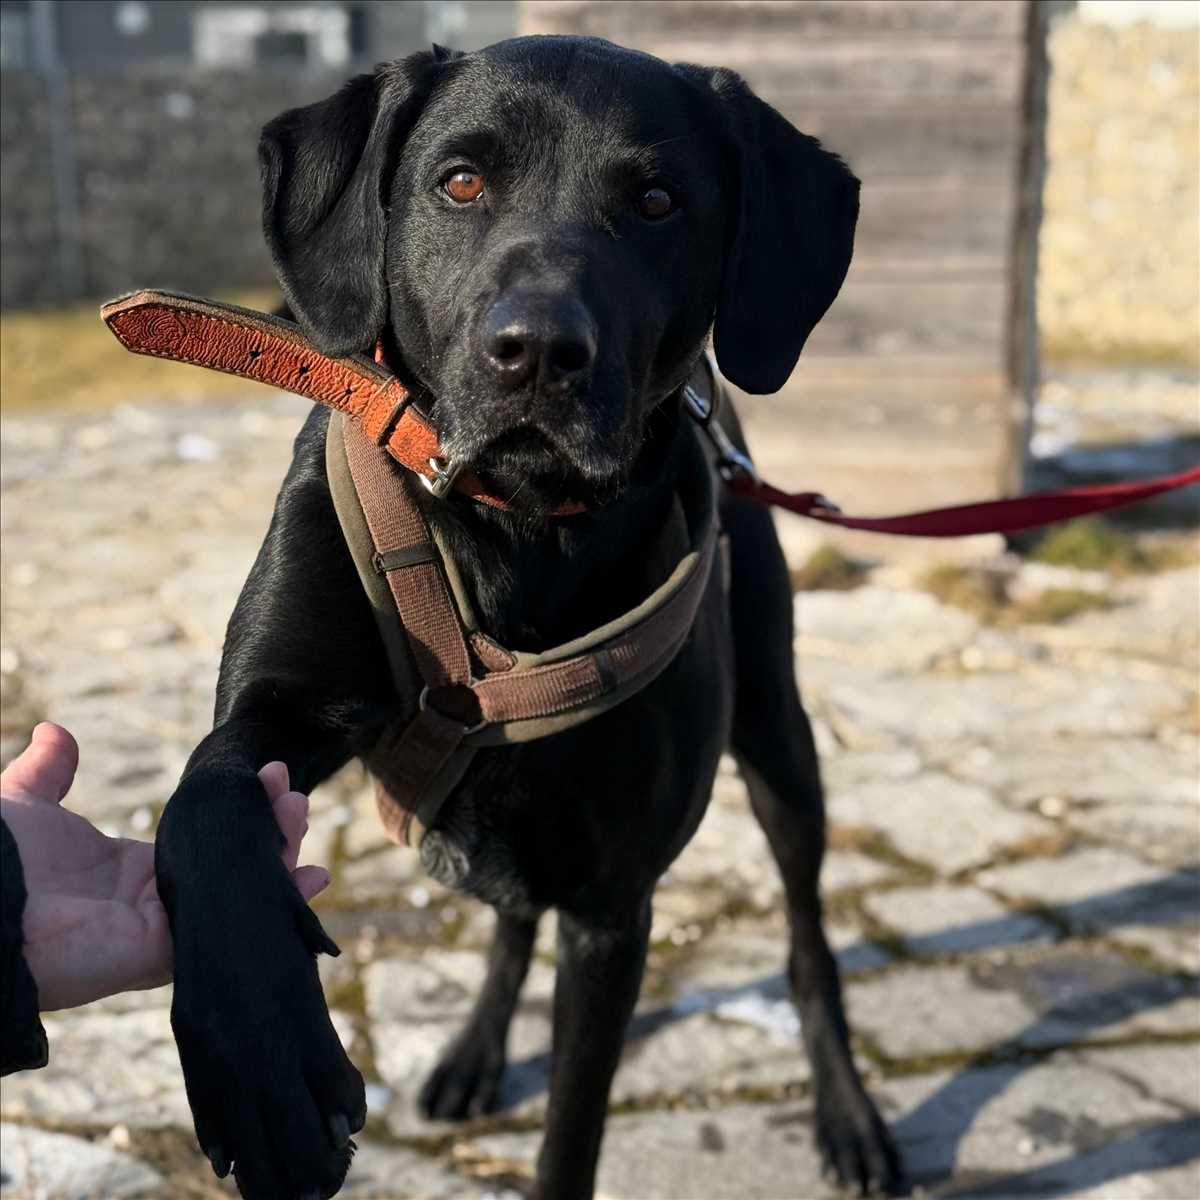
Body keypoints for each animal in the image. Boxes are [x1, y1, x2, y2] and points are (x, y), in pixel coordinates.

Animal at [156, 35, 902, 1200]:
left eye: (657, 202)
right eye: (461, 182)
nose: (540, 351)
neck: (516, 532)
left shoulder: (612, 905)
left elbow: (571, 1136)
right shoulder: (269, 714)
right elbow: (205, 812)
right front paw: (264, 1064)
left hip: (781, 741)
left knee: (809, 940)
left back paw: (849, 1114)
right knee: (508, 911)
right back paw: (470, 1052)